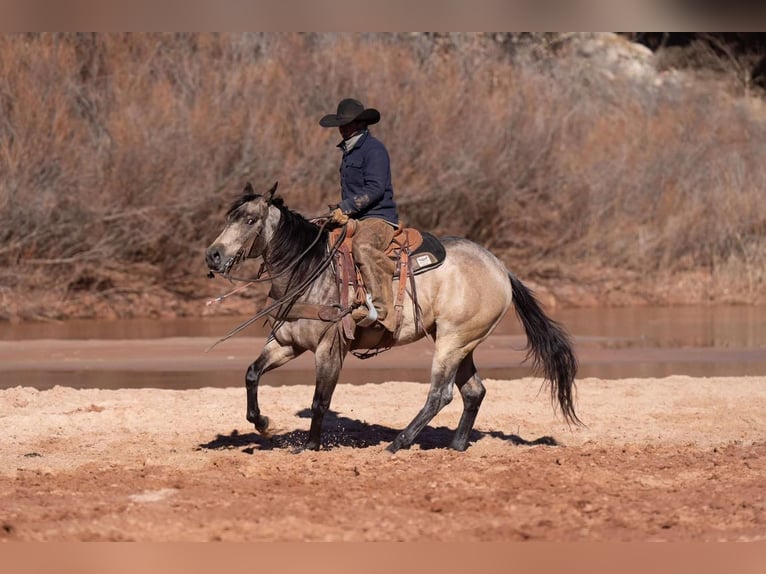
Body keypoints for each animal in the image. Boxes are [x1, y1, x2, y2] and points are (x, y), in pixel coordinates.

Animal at [204, 184, 584, 454]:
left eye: (250, 220)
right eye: (228, 217)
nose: (213, 255)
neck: (309, 270)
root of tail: (501, 268)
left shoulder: (329, 349)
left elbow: (319, 400)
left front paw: (309, 446)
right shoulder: (286, 344)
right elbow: (252, 374)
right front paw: (263, 423)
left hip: (451, 342)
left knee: (440, 394)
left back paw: (398, 442)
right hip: (463, 343)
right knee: (473, 391)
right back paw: (455, 446)